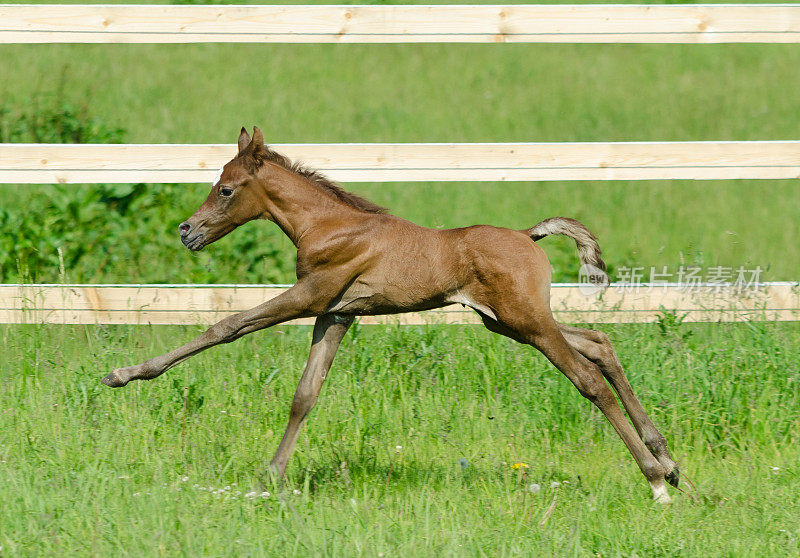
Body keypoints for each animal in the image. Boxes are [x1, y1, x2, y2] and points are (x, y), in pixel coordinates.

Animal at [103, 129, 680, 506]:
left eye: (225, 189)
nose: (187, 231)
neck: (329, 225)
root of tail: (527, 235)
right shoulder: (335, 315)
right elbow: (305, 394)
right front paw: (271, 477)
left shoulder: (309, 296)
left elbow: (228, 326)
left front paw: (123, 374)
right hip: (509, 322)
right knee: (598, 343)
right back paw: (670, 463)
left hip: (527, 322)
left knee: (586, 377)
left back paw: (655, 480)